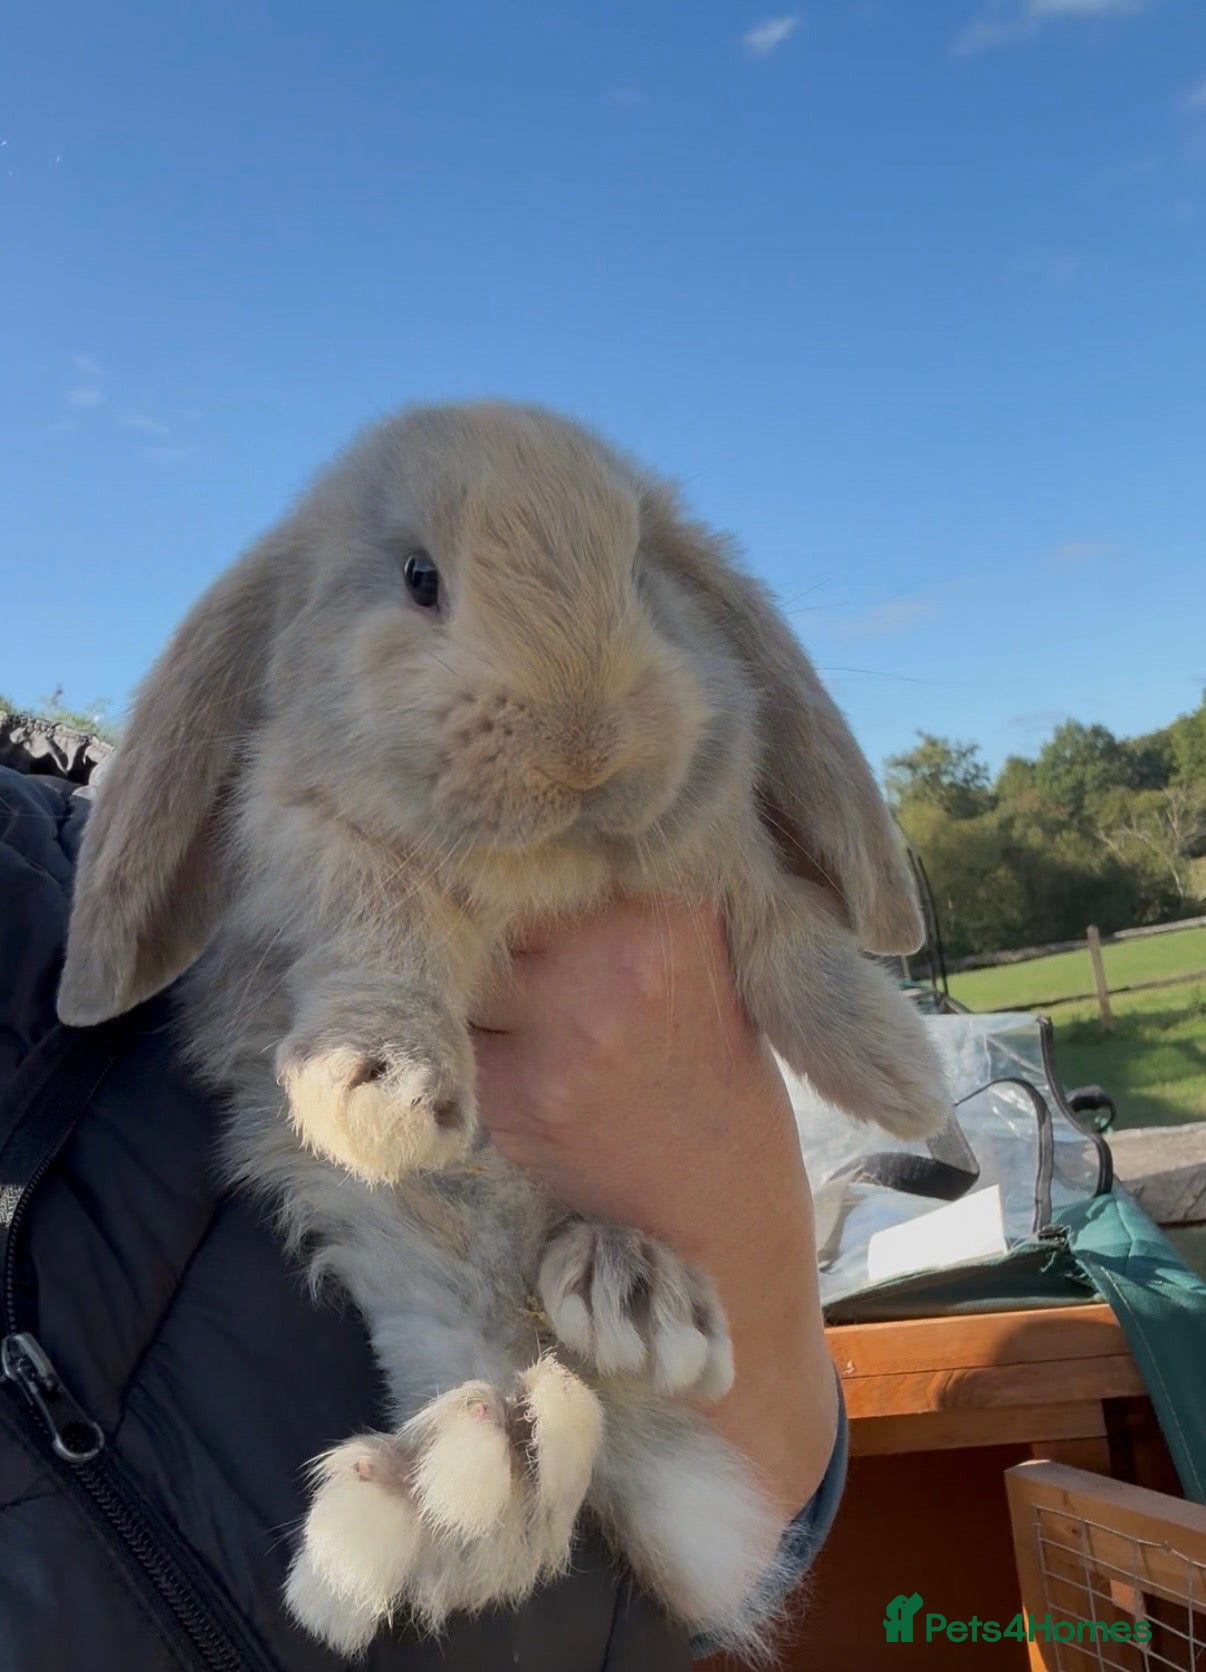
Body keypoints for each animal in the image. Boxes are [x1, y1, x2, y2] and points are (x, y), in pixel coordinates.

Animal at [57, 401, 948, 1660]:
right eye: (420, 577)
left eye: (641, 570)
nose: (586, 743)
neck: (549, 878)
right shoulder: (319, 855)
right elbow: (383, 943)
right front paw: (382, 1094)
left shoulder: (724, 851)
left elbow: (784, 928)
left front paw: (901, 1069)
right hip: (432, 1288)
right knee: (506, 1487)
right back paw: (461, 1475)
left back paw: (619, 1317)